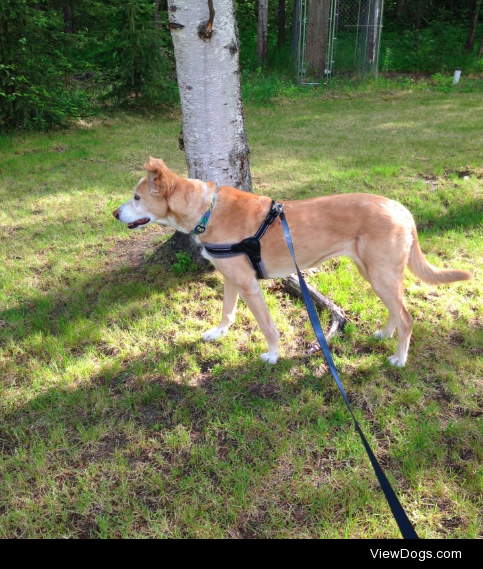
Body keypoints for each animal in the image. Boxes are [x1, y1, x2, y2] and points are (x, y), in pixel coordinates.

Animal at [113, 158, 472, 366]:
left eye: (136, 197)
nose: (114, 213)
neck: (207, 210)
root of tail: (402, 208)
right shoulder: (231, 279)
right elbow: (227, 312)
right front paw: (218, 333)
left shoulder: (250, 286)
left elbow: (267, 327)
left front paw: (273, 355)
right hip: (372, 273)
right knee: (396, 311)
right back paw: (385, 335)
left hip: (381, 275)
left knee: (408, 317)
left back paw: (398, 358)